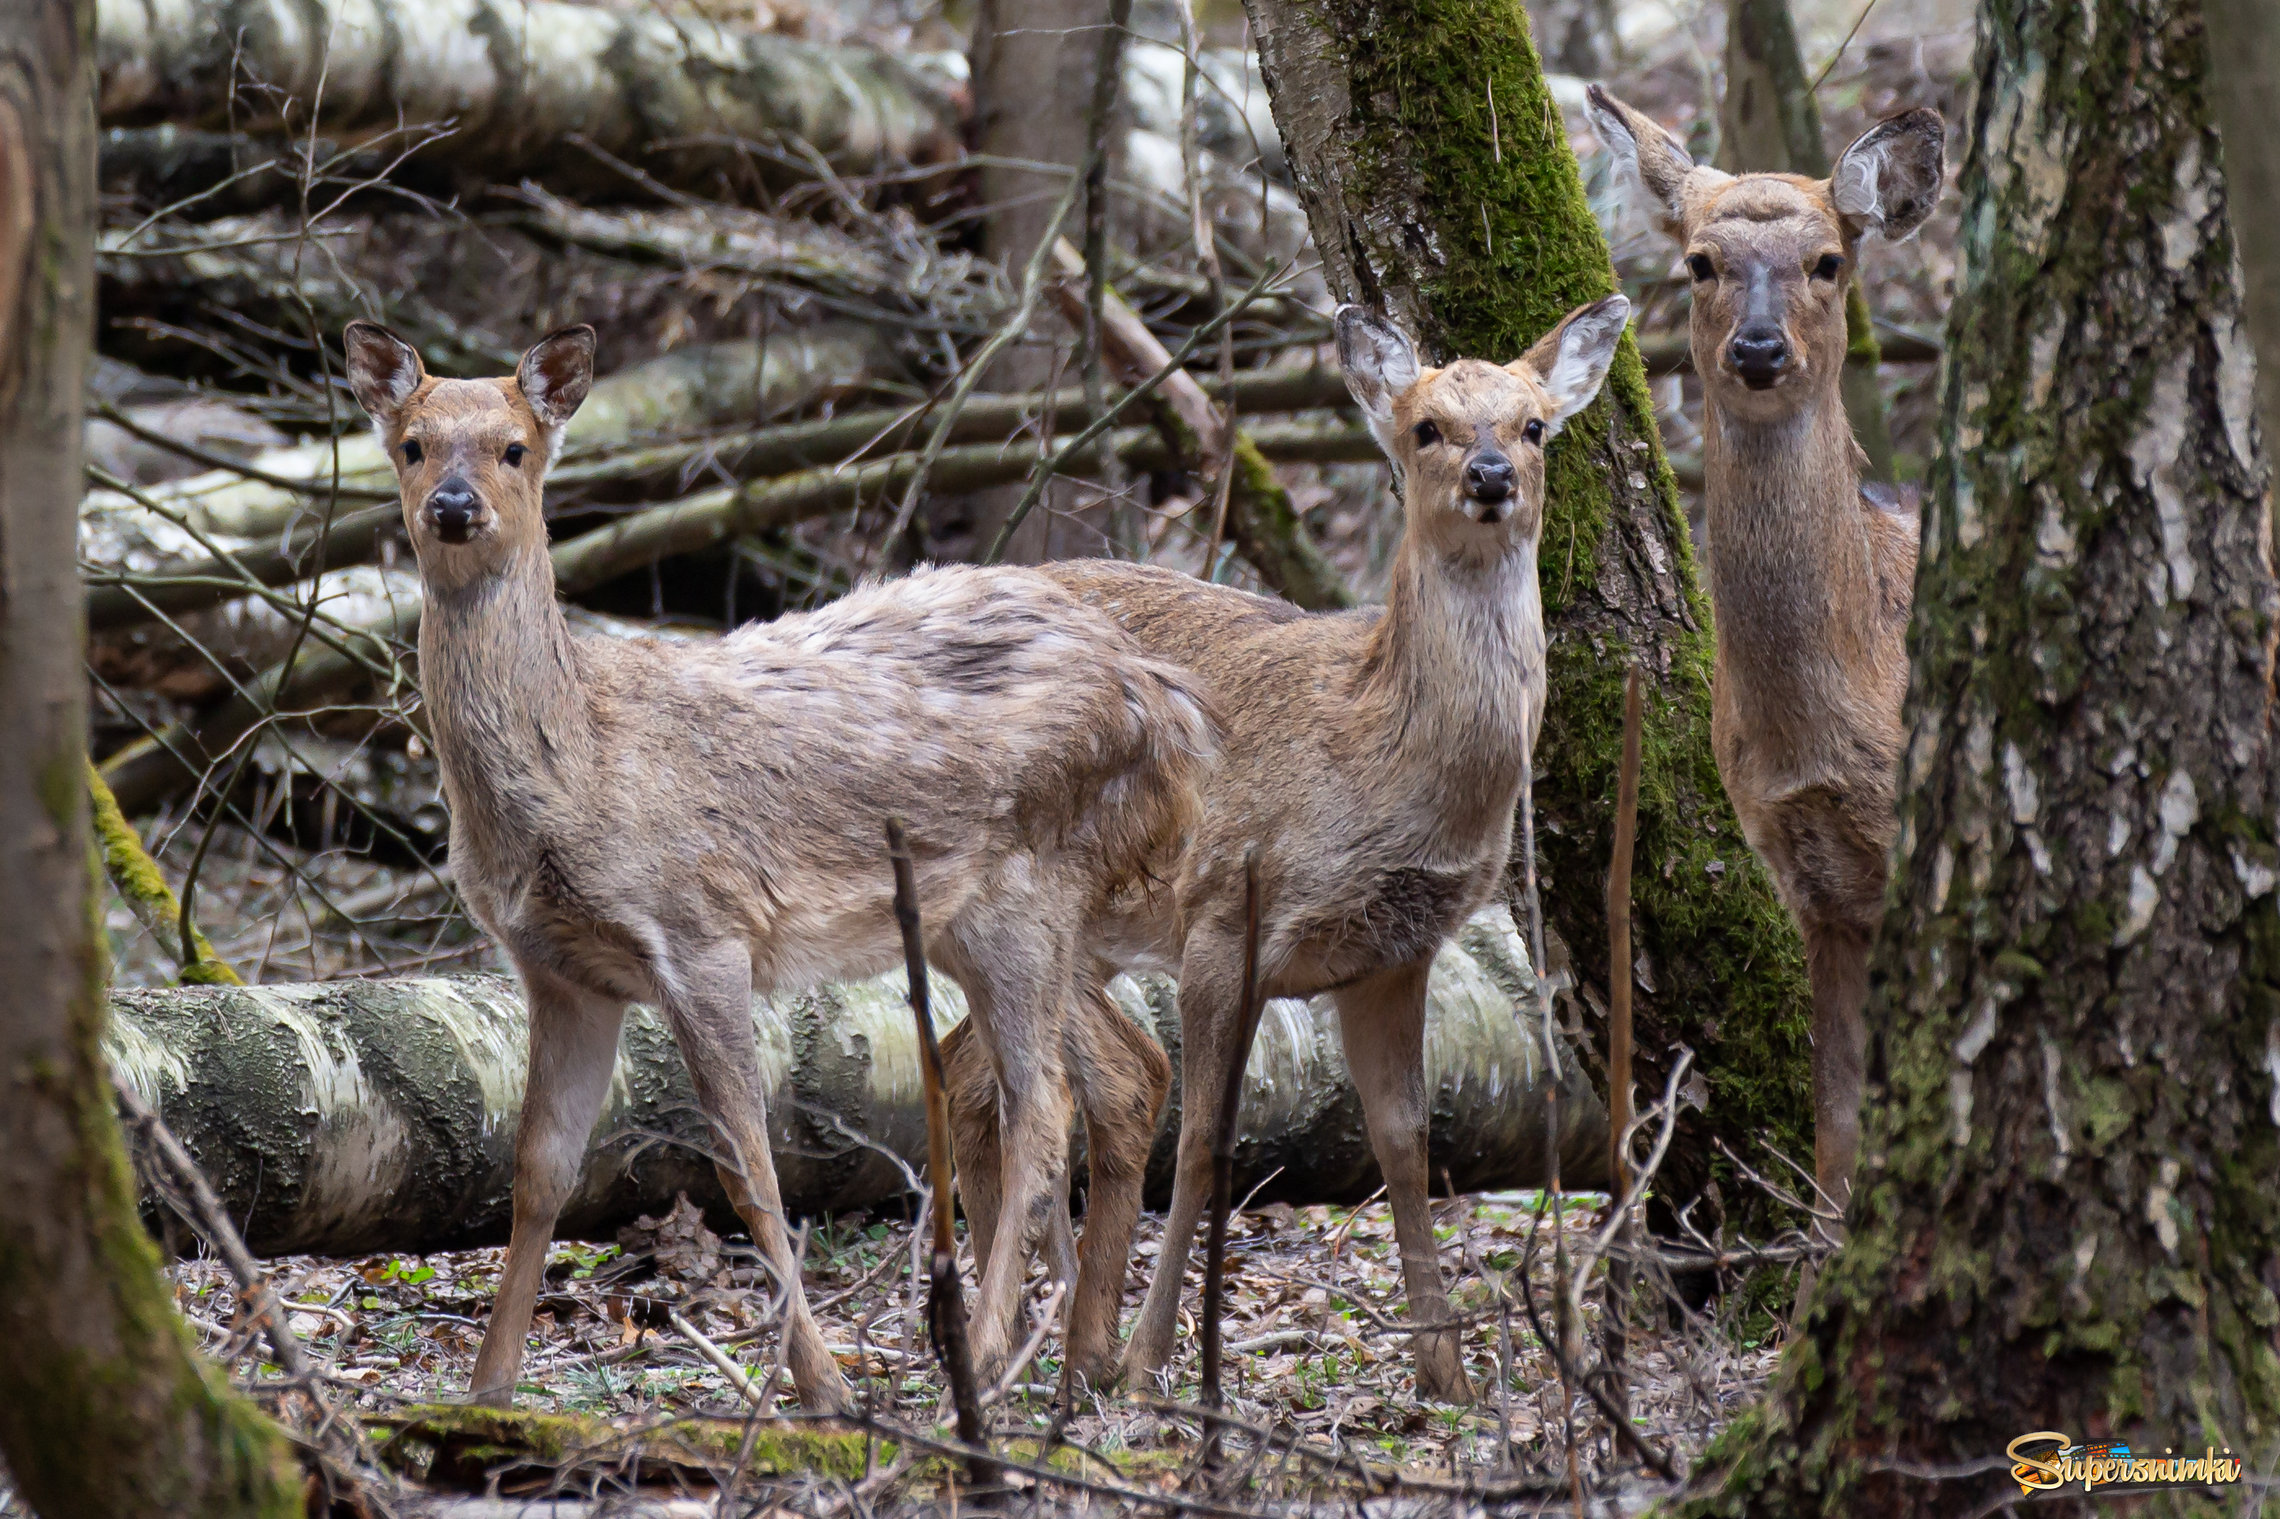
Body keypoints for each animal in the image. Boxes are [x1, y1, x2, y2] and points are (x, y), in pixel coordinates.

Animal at [335, 317, 1212, 1404]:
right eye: (411, 444)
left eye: (515, 447)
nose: (454, 505)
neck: (579, 763)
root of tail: (1164, 703)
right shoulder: (561, 970)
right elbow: (540, 1170)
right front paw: (488, 1388)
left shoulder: (701, 934)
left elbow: (749, 1167)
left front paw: (823, 1387)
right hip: (998, 921)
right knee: (1124, 1072)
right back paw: (1085, 1361)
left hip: (1029, 889)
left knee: (1041, 1108)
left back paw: (990, 1353)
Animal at [948, 291, 1641, 1395]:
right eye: (1425, 427)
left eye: (1535, 425)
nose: (1491, 476)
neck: (1371, 751)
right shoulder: (1221, 917)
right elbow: (1205, 1143)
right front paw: (1154, 1360)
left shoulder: (1395, 953)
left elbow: (1406, 1141)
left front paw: (1444, 1371)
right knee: (1065, 1081)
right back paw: (1049, 1342)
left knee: (974, 1072)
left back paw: (1026, 1335)